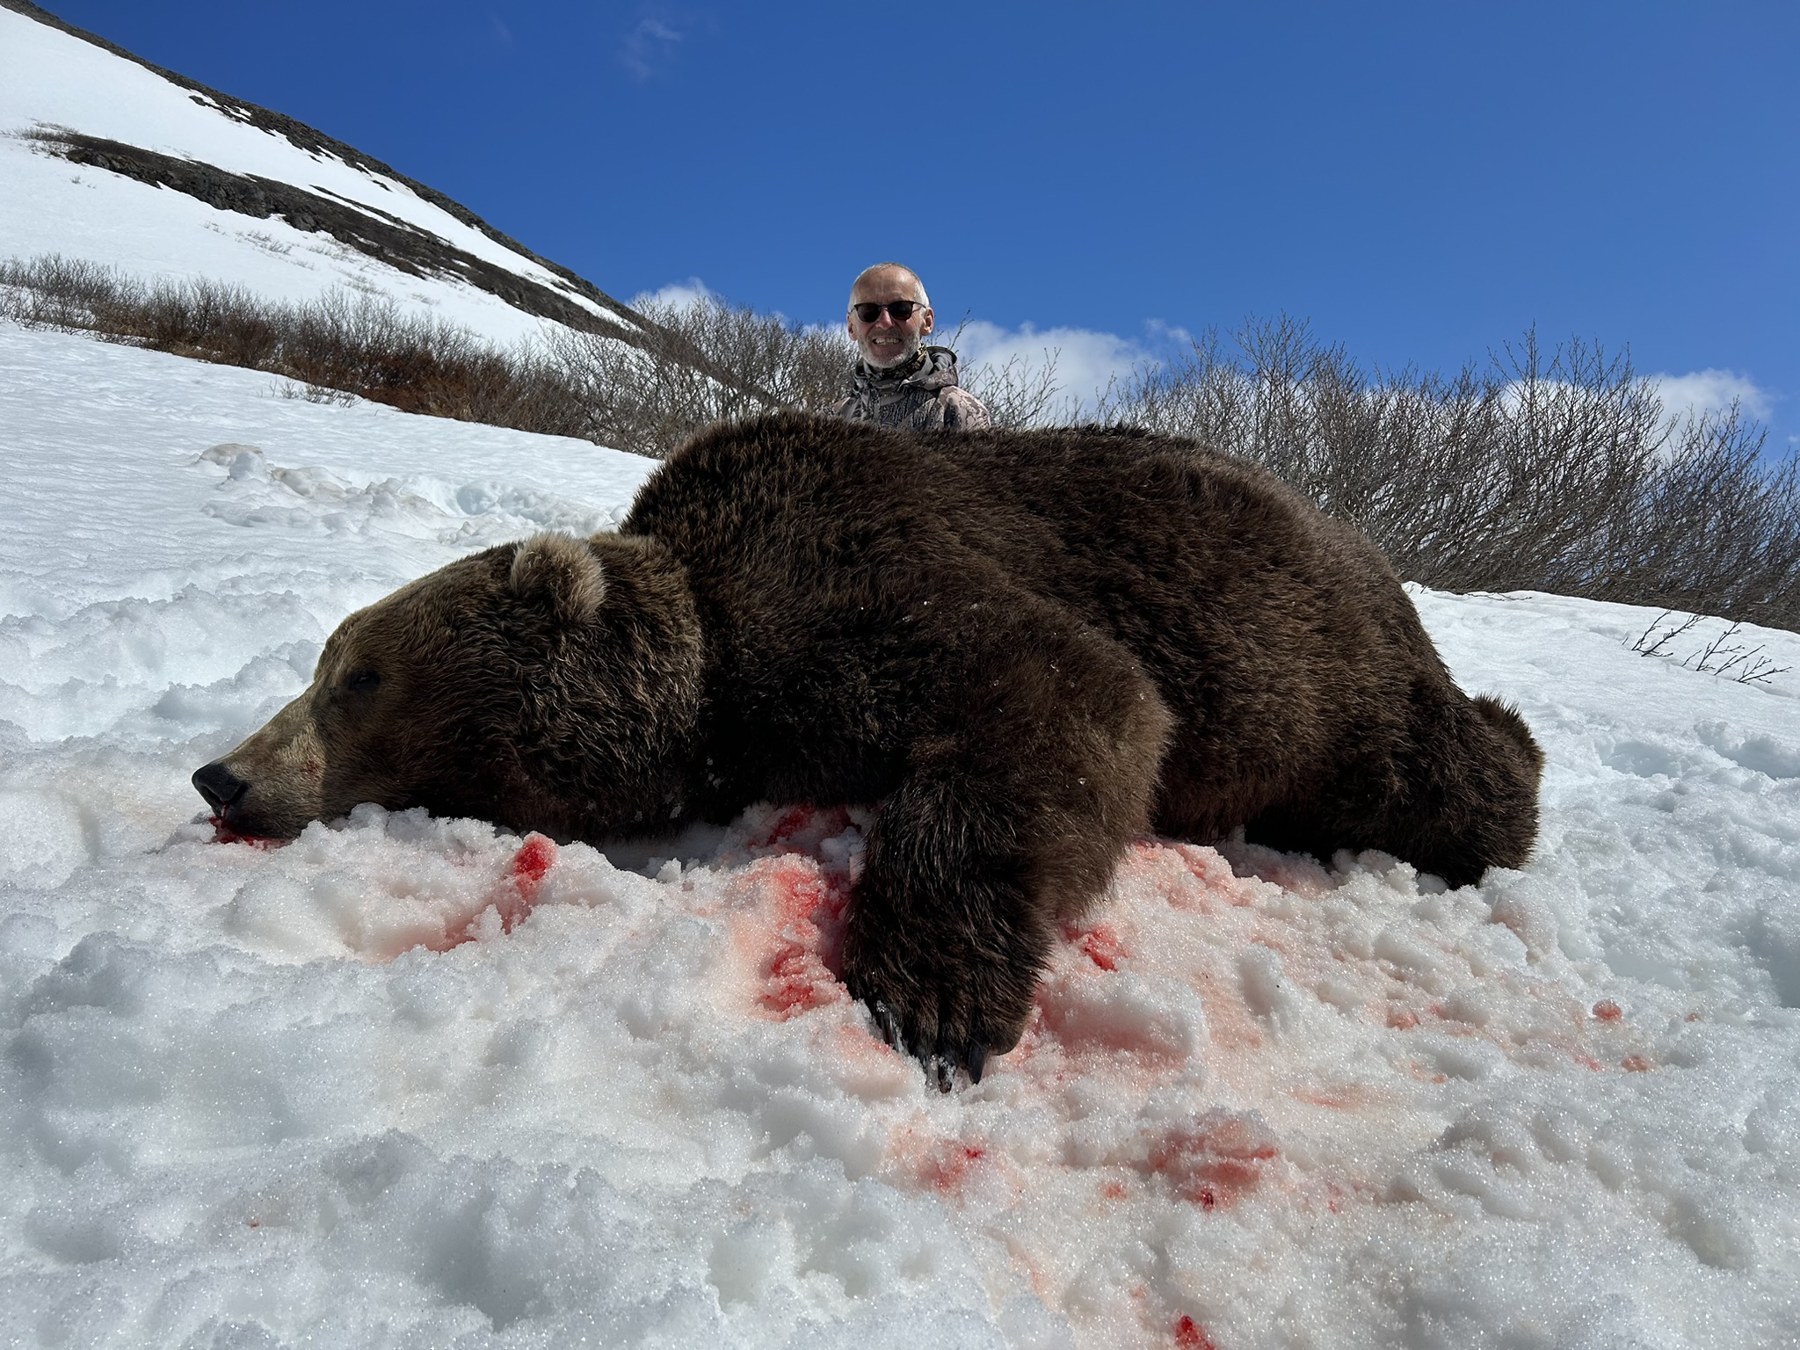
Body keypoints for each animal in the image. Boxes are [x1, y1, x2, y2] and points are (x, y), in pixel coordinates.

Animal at [192, 410, 1544, 1086]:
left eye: (357, 674)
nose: (224, 772)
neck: (715, 671)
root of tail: (1364, 545)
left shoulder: (874, 572)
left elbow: (1066, 697)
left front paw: (933, 995)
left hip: (1322, 668)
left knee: (1438, 768)